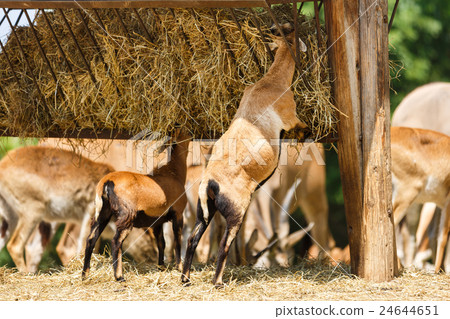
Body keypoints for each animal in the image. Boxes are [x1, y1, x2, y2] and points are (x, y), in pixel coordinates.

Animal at [81, 129, 191, 282]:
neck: (174, 172)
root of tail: (107, 182)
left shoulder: (157, 221)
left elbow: (161, 243)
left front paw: (161, 267)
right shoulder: (178, 213)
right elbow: (177, 240)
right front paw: (179, 267)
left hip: (102, 212)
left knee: (91, 238)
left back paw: (85, 275)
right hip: (126, 215)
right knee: (116, 241)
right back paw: (119, 276)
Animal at [181, 28, 308, 288]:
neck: (271, 82)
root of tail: (209, 182)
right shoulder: (290, 117)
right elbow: (302, 128)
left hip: (203, 210)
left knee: (192, 239)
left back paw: (186, 279)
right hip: (236, 211)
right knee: (224, 244)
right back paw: (218, 282)